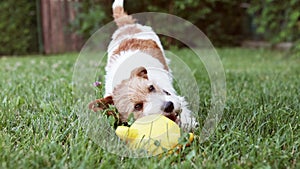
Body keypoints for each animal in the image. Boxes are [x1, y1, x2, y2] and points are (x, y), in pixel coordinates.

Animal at [89, 0, 197, 131]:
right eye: (137, 106)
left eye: (151, 88)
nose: (169, 106)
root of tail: (126, 26)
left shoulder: (174, 97)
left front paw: (189, 125)